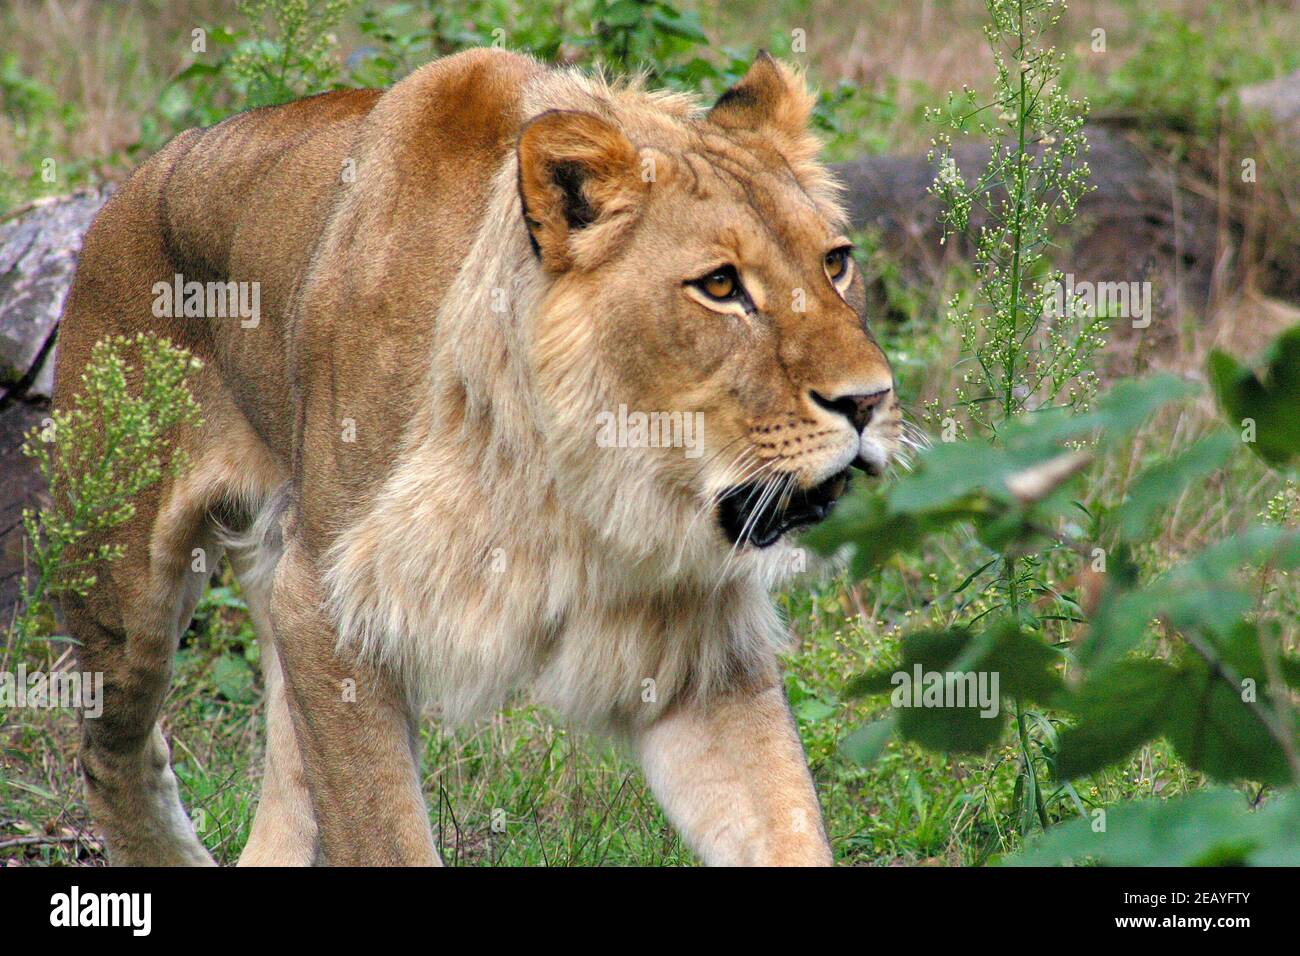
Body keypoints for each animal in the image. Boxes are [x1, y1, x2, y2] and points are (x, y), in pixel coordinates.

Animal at [53, 46, 904, 868]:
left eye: (835, 262)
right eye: (721, 286)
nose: (868, 402)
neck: (593, 476)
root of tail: (136, 181)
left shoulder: (692, 647)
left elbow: (784, 820)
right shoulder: (327, 601)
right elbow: (383, 836)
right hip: (124, 586)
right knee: (112, 752)